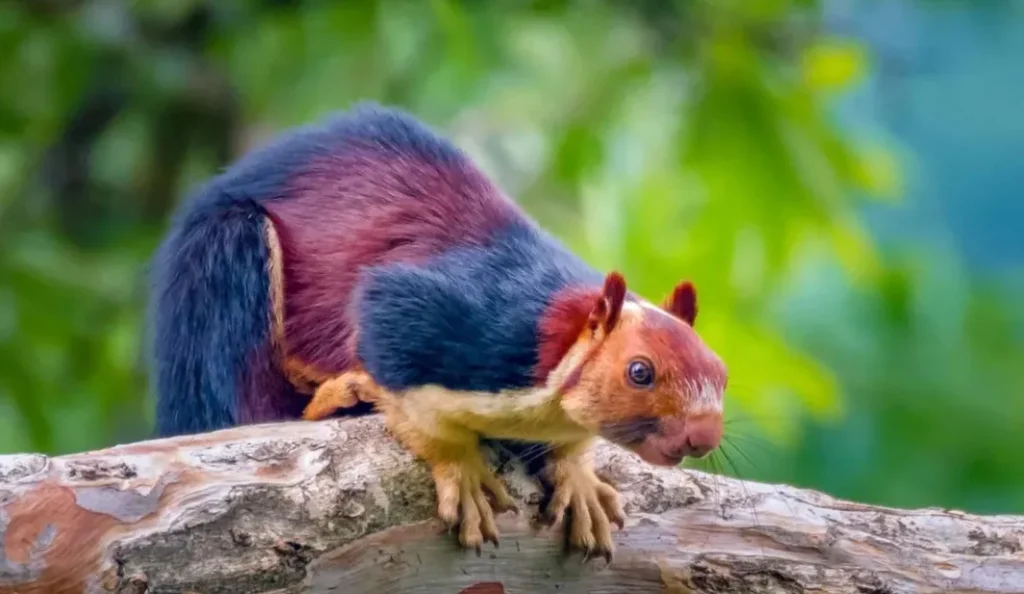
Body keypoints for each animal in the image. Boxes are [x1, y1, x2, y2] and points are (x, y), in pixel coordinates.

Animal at [148, 103, 727, 561]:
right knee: (244, 408)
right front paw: (460, 468)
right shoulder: (449, 319)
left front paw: (578, 476)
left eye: (722, 373)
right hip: (225, 264)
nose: (703, 436)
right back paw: (338, 398)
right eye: (639, 372)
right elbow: (406, 377)